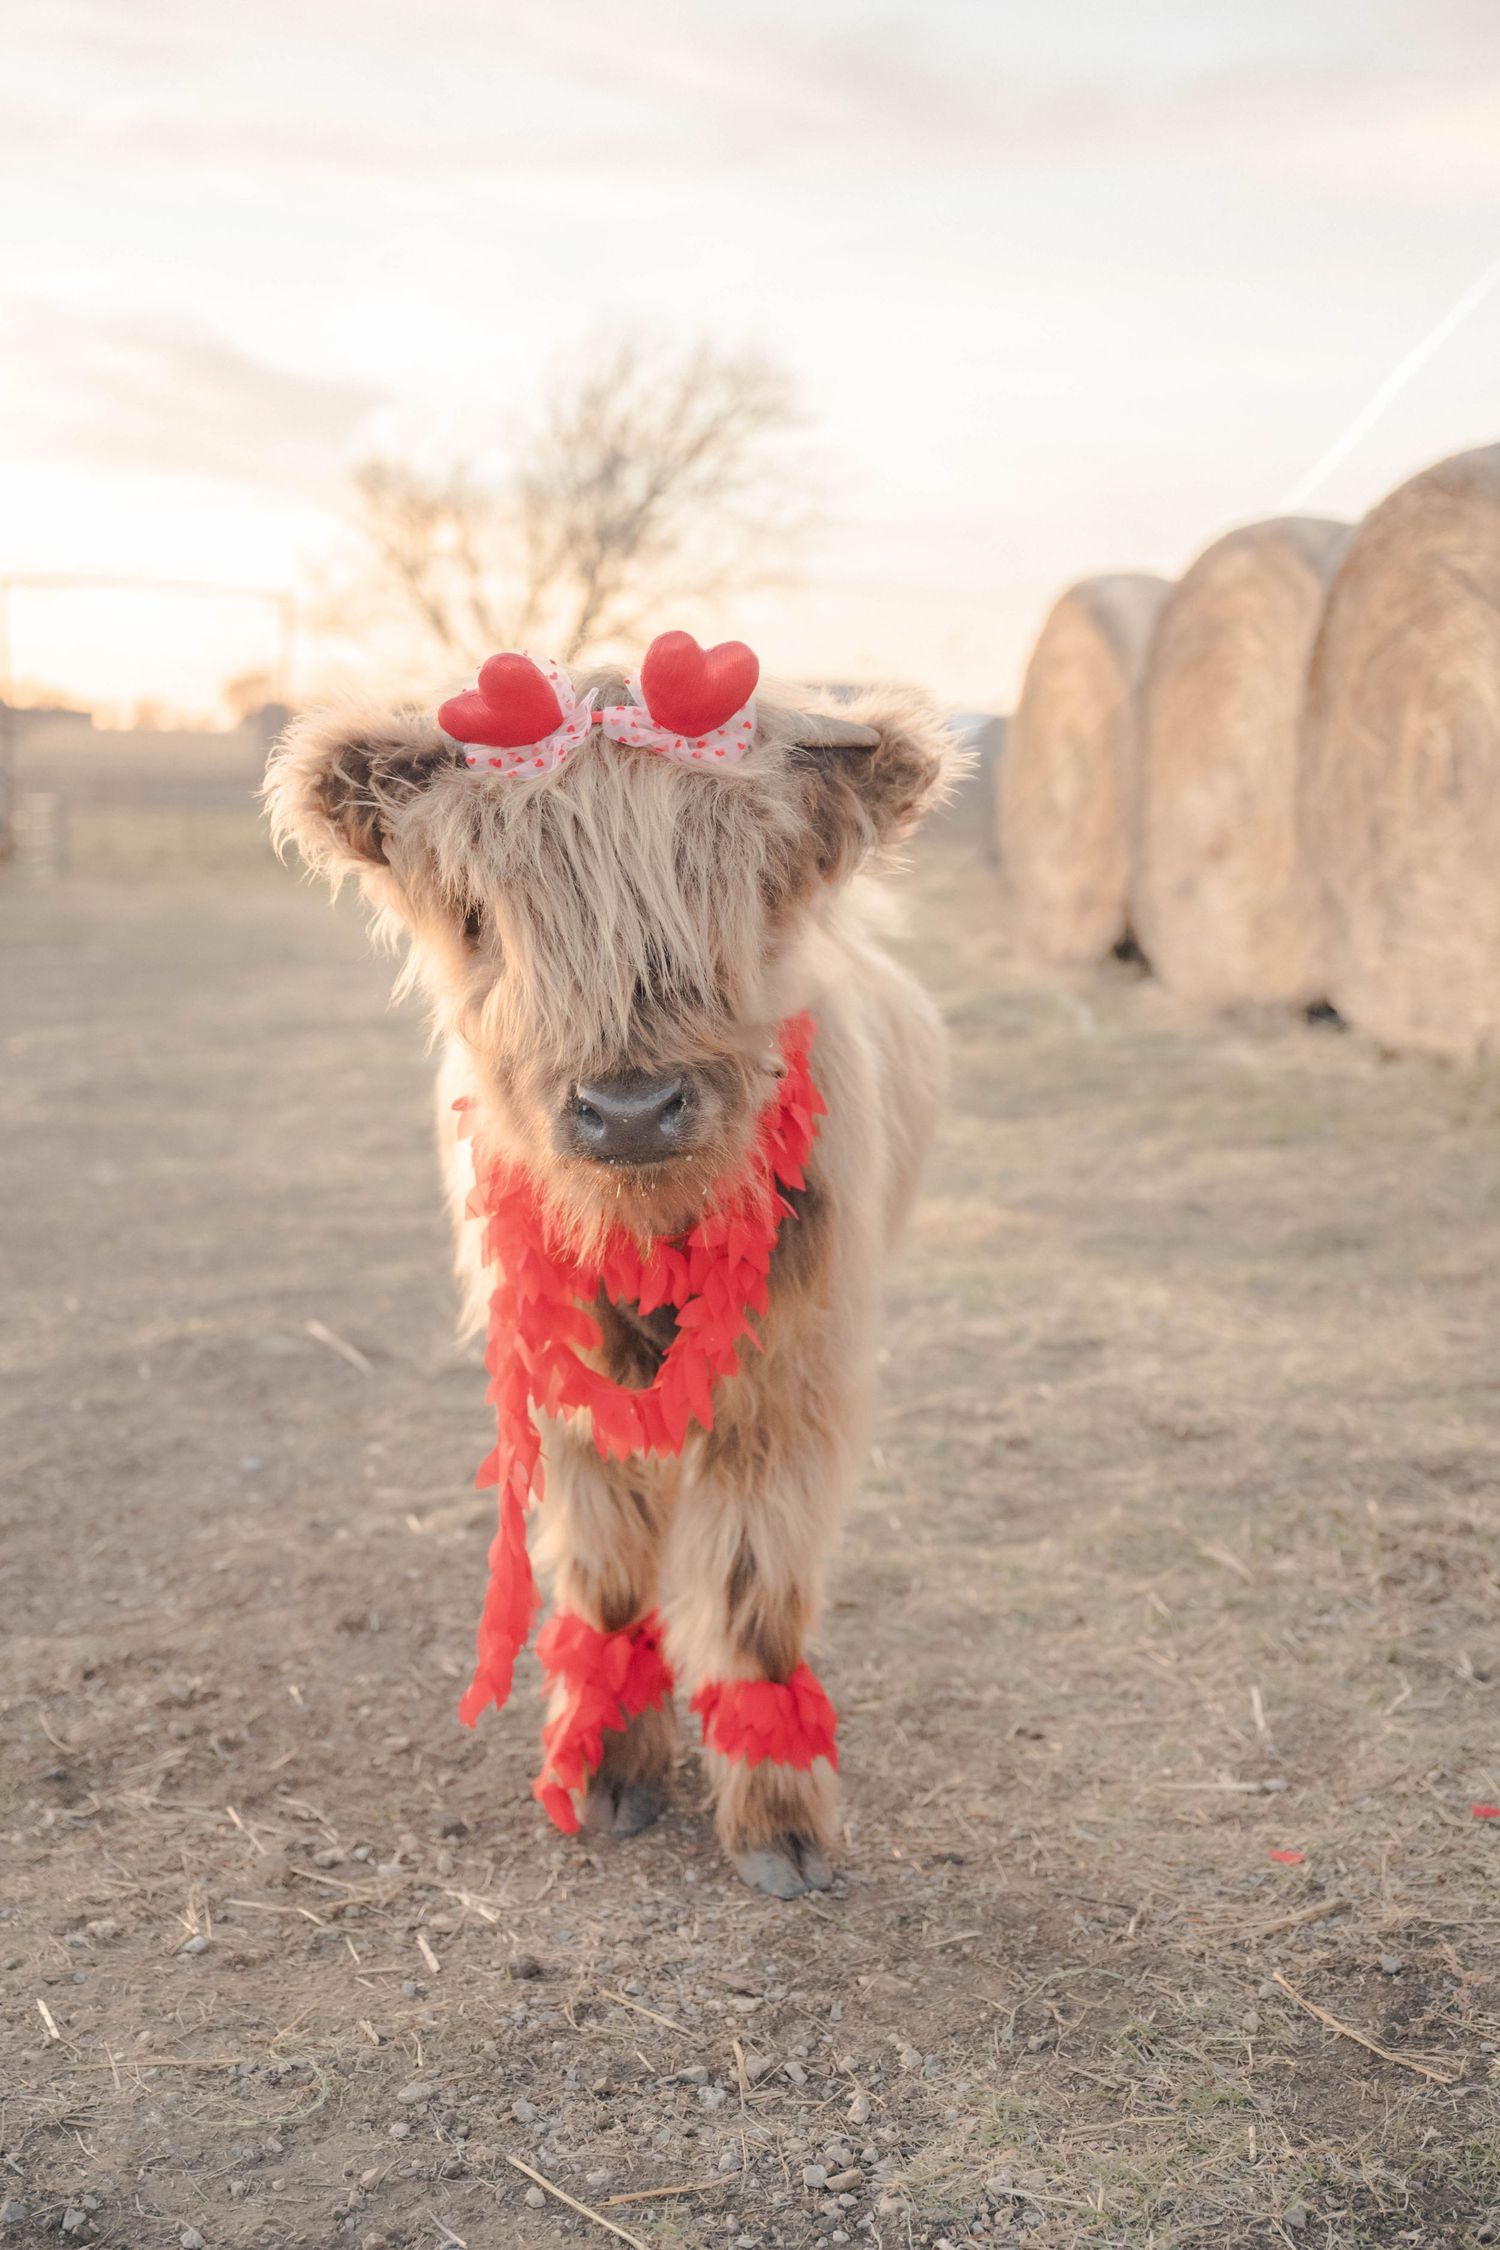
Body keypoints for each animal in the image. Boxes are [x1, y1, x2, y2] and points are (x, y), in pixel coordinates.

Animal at [264, 644, 956, 1898]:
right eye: (481, 917)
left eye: (747, 894)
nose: (630, 1108)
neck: (645, 1228)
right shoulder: (570, 1388)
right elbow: (608, 1568)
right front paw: (608, 1771)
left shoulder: (790, 1384)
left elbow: (750, 1587)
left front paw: (779, 1822)